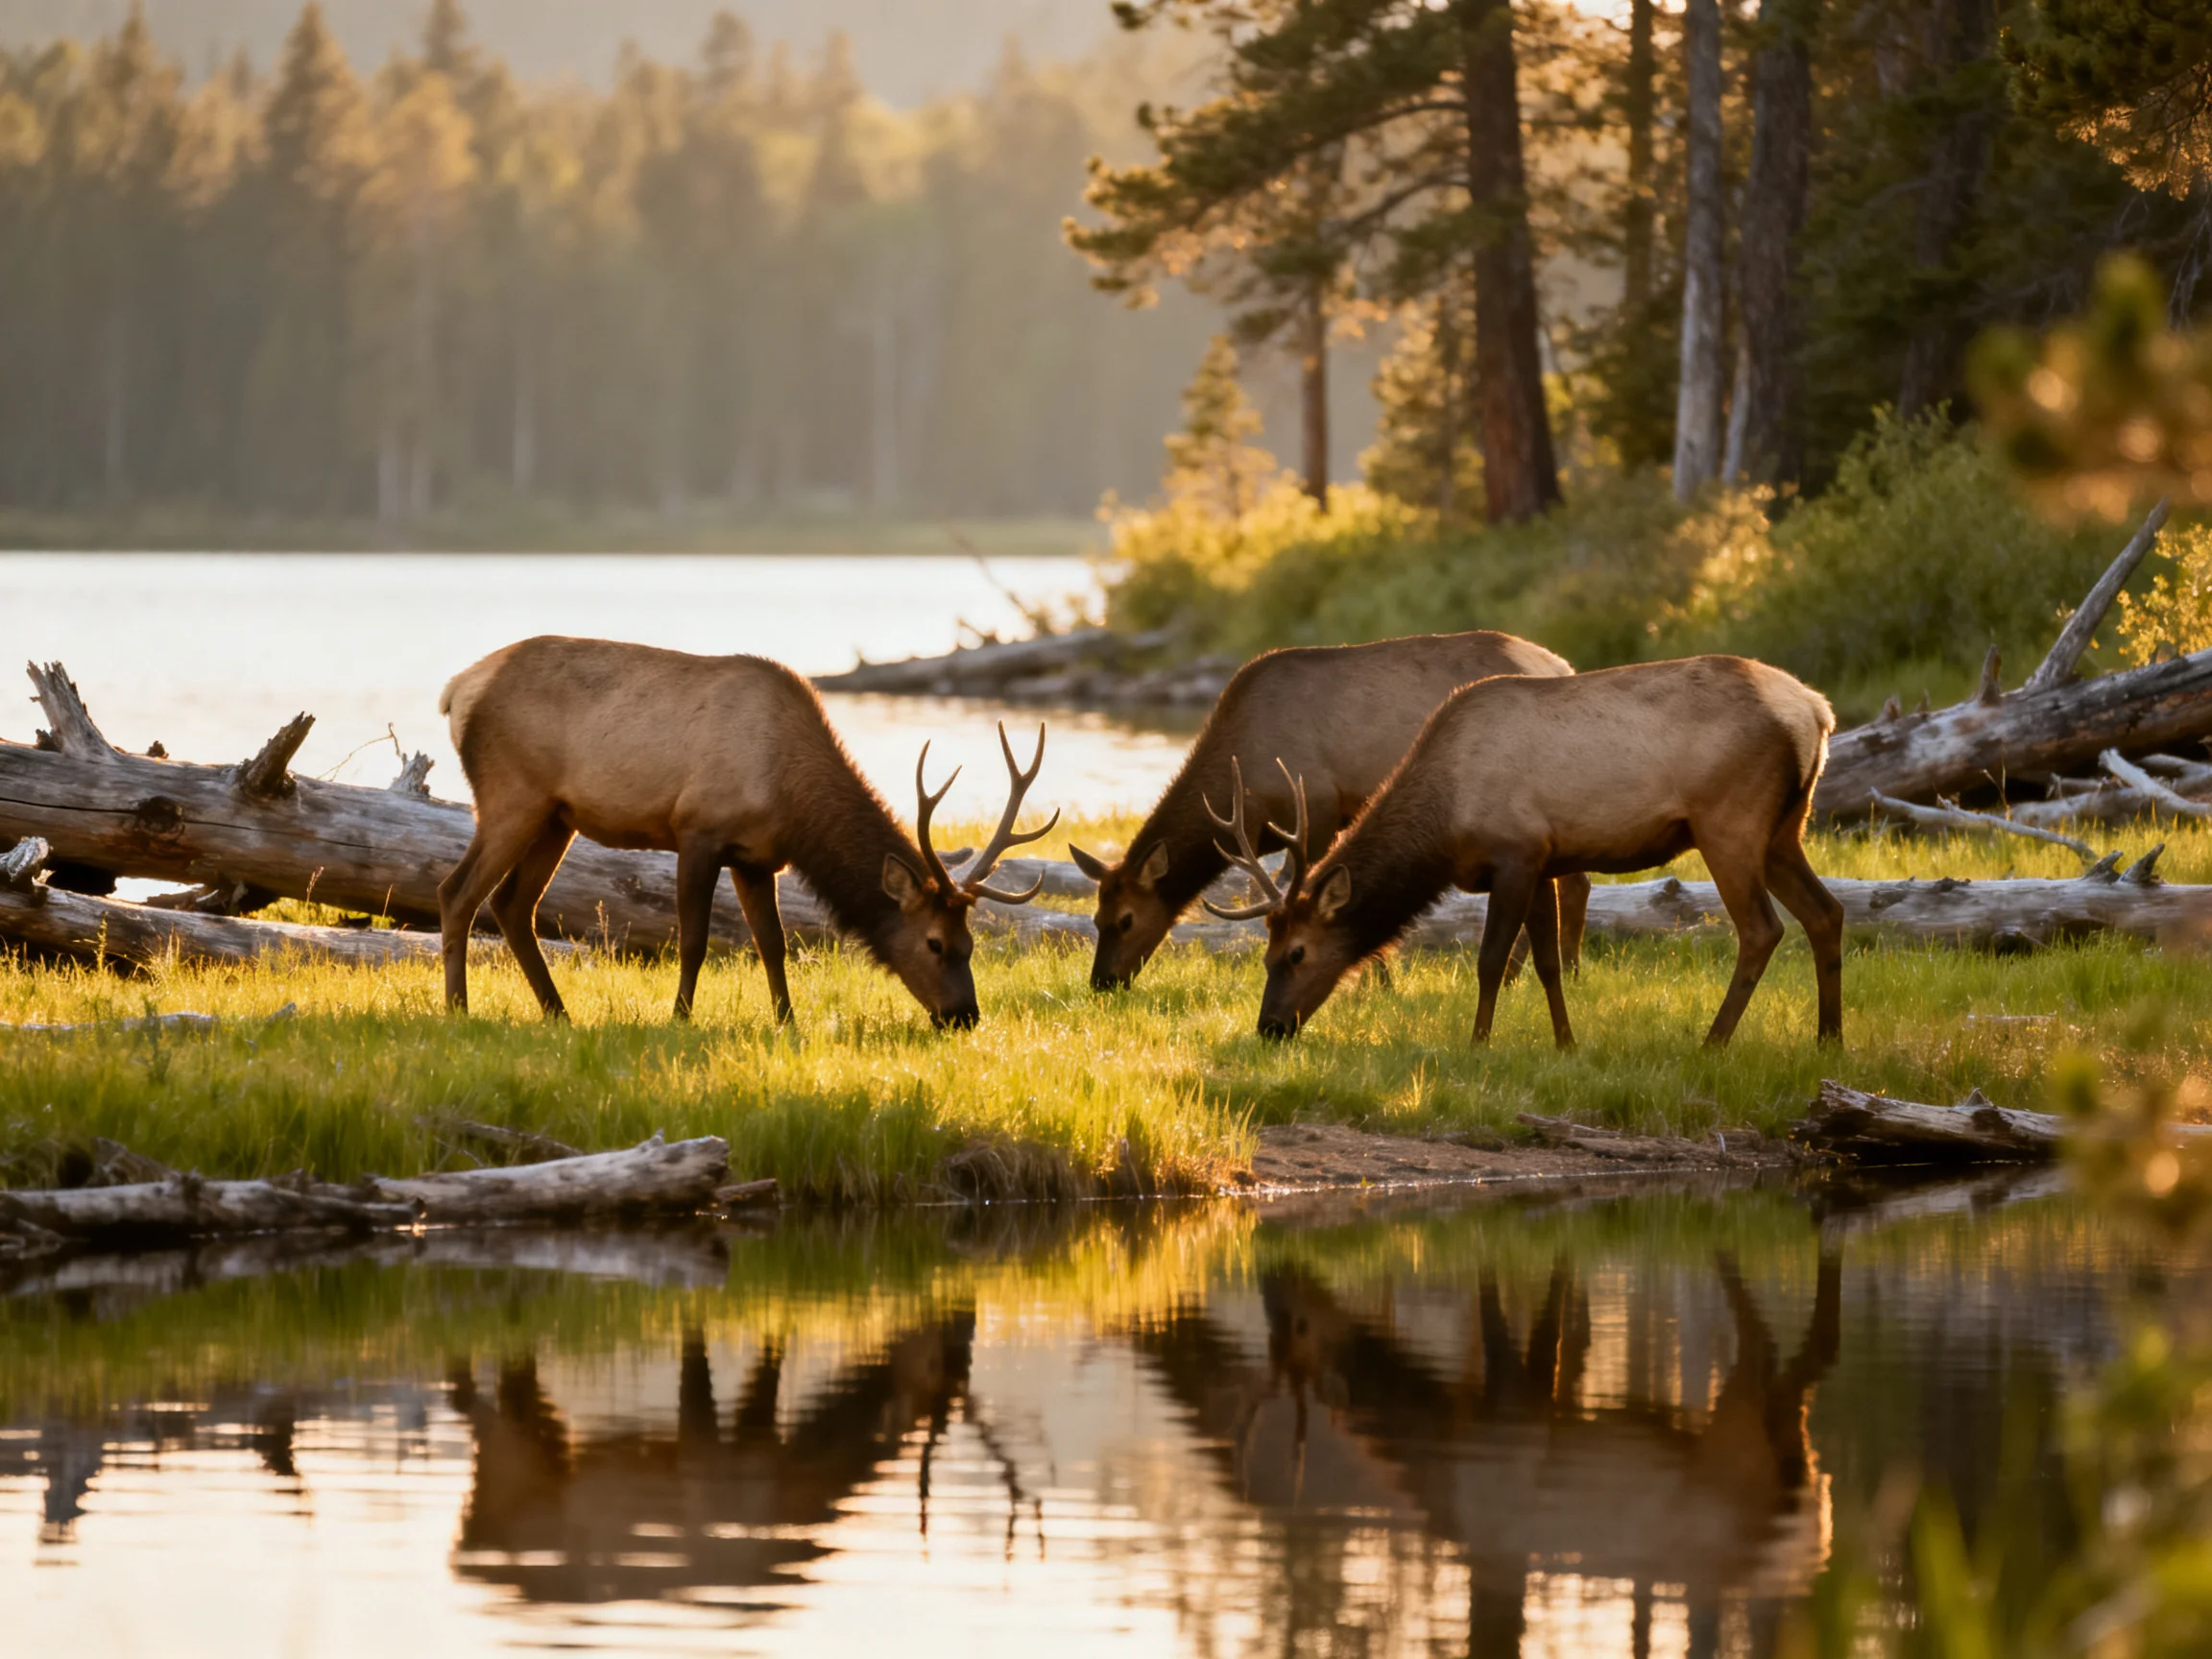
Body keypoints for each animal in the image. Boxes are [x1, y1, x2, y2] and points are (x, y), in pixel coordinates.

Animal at [437, 636, 1057, 1029]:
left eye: (971, 945)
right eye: (934, 943)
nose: (964, 1017)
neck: (789, 794)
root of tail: (457, 690)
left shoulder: (757, 858)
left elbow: (772, 944)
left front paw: (788, 1022)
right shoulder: (696, 830)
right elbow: (694, 939)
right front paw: (680, 1018)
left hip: (555, 817)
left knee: (512, 903)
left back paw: (558, 1013)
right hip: (511, 795)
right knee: (457, 890)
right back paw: (458, 1010)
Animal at [1066, 631, 1592, 991]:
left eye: (1126, 919)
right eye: (1095, 918)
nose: (1103, 982)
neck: (1246, 787)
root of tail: (1561, 665)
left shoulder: (1316, 807)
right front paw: (1377, 980)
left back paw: (1553, 972)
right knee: (1574, 879)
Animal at [1207, 655, 1844, 1047]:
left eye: (1296, 953)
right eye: (1265, 955)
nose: (1270, 1026)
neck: (1444, 823)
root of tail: (1819, 711)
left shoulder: (1514, 853)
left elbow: (1491, 960)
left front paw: (1478, 1042)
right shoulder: (1544, 860)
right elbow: (1547, 962)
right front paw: (1565, 1043)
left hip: (1729, 820)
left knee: (1763, 929)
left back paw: (1713, 1042)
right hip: (1786, 829)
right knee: (1826, 912)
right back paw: (1829, 1039)